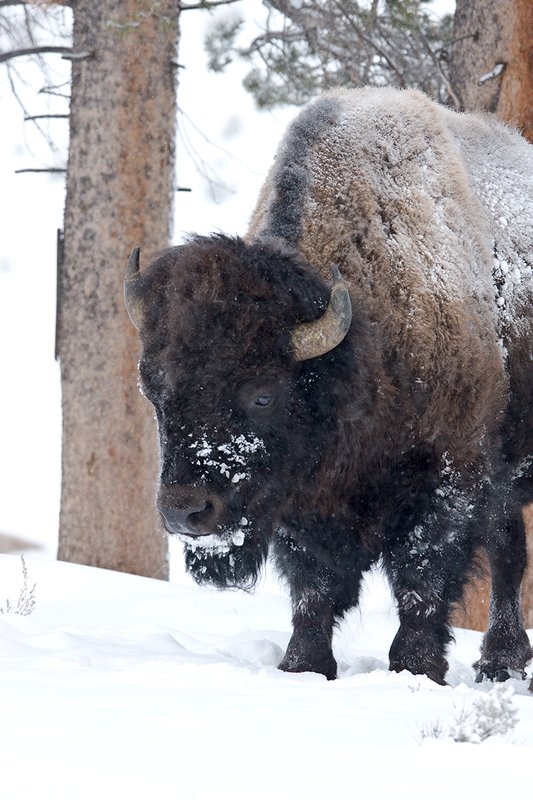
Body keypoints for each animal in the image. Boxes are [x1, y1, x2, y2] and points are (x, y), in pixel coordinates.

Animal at [125, 87, 533, 685]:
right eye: (155, 393)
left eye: (263, 394)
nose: (186, 511)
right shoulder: (305, 503)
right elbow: (314, 586)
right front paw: (303, 665)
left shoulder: (449, 478)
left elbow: (422, 578)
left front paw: (414, 668)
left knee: (506, 558)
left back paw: (500, 662)